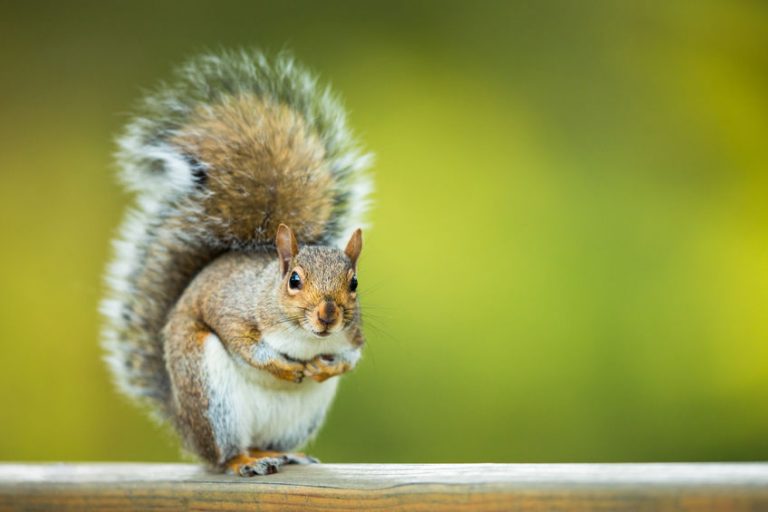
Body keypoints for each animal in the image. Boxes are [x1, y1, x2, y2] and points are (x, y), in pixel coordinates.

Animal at [100, 50, 372, 476]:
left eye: (354, 283)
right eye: (294, 280)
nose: (328, 316)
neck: (306, 336)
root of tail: (183, 423)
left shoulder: (353, 335)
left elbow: (351, 358)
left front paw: (324, 367)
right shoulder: (232, 309)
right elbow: (245, 344)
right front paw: (285, 368)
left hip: (296, 419)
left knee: (267, 443)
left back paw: (281, 454)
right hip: (211, 396)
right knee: (223, 454)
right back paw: (243, 461)